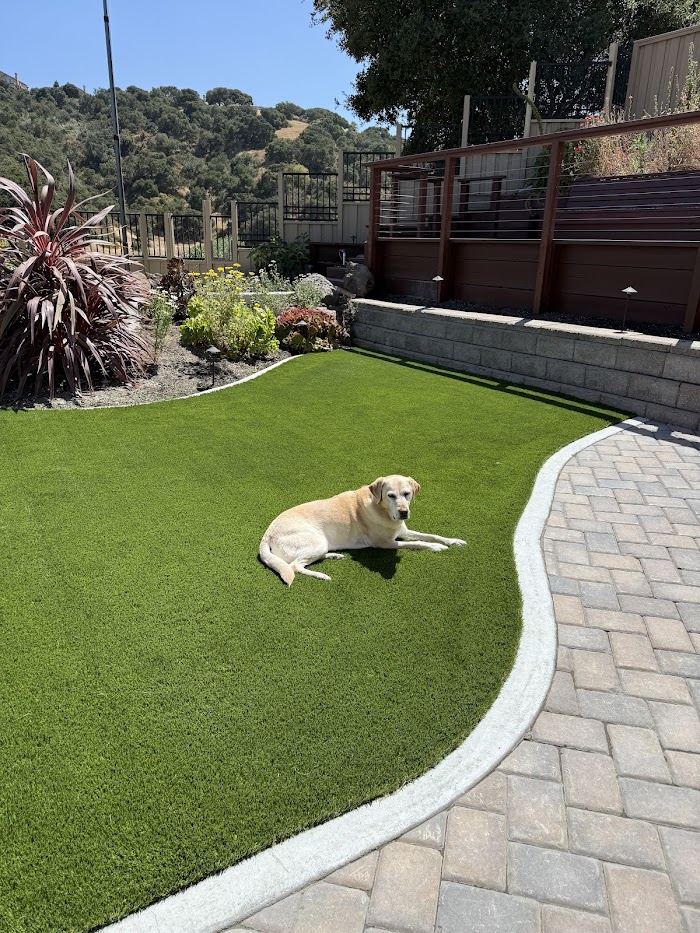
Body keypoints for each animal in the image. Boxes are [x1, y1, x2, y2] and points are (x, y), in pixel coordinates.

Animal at [259, 475, 466, 586]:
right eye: (391, 495)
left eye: (407, 494)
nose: (403, 512)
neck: (381, 510)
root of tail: (267, 534)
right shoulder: (387, 543)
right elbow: (419, 542)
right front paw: (436, 547)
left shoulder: (402, 532)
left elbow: (432, 535)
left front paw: (454, 541)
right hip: (316, 541)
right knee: (295, 566)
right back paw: (322, 575)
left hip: (321, 544)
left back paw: (335, 555)